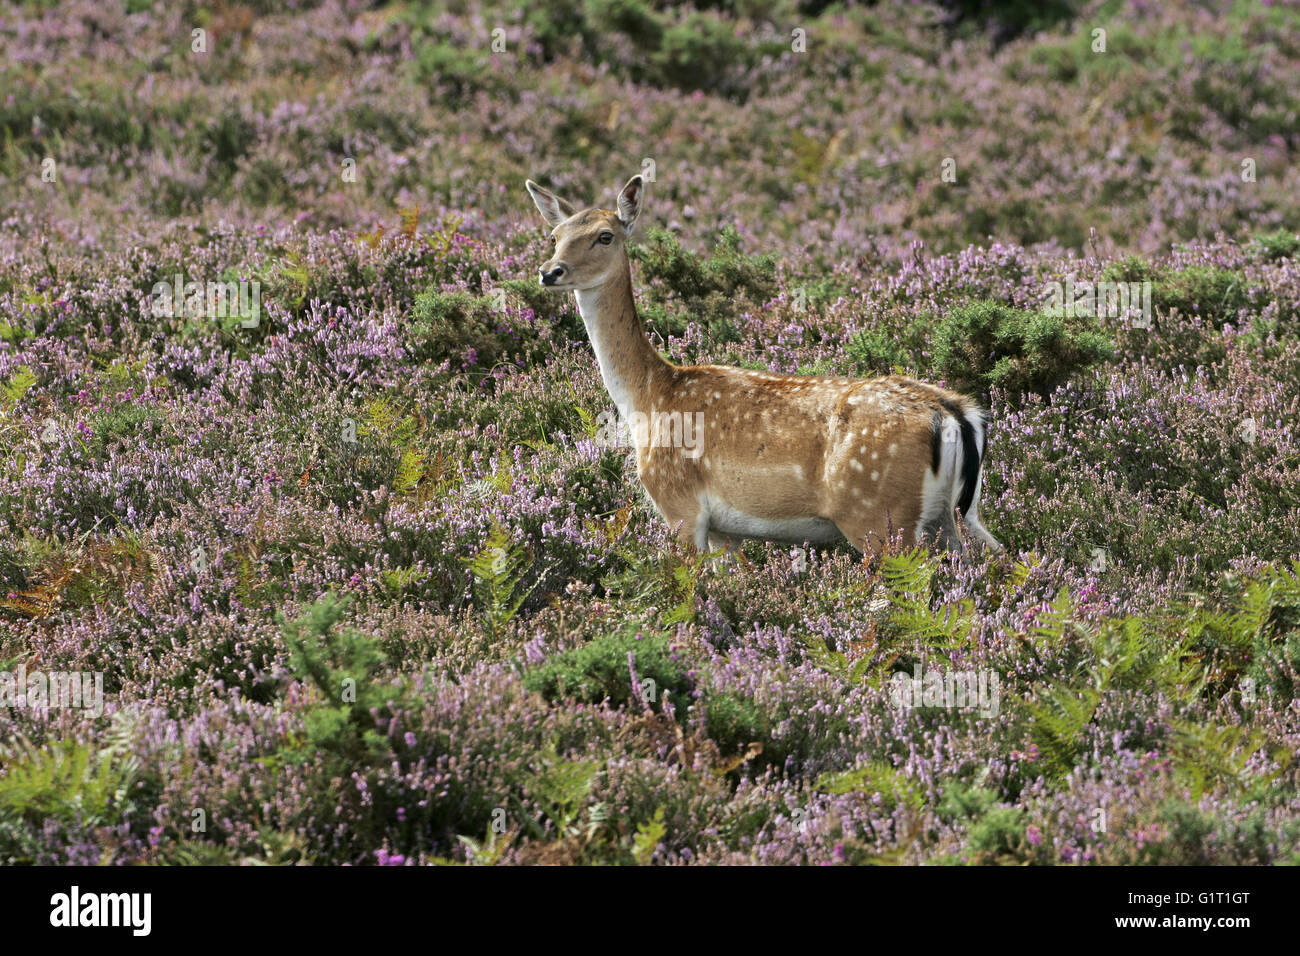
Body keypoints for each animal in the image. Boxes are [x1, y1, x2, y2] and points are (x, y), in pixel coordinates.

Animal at [522, 175, 998, 556]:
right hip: (950, 516)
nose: (551, 271)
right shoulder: (724, 529)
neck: (648, 398)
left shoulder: (679, 505)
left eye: (605, 236)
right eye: (555, 234)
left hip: (879, 515)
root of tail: (954, 415)